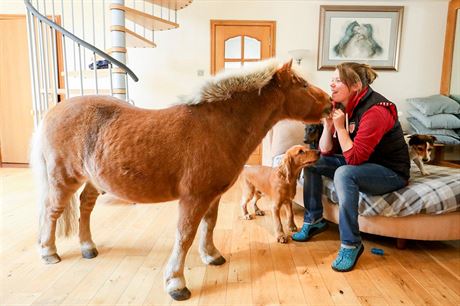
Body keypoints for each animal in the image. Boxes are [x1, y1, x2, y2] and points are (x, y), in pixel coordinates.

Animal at [31, 58, 330, 300]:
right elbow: (185, 235)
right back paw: (48, 252)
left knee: (85, 207)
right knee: (52, 211)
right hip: (63, 179)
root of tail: (52, 112)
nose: (330, 103)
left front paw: (212, 256)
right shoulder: (193, 198)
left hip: (92, 180)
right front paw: (176, 283)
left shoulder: (212, 196)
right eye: (303, 84)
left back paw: (87, 247)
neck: (217, 127)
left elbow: (209, 226)